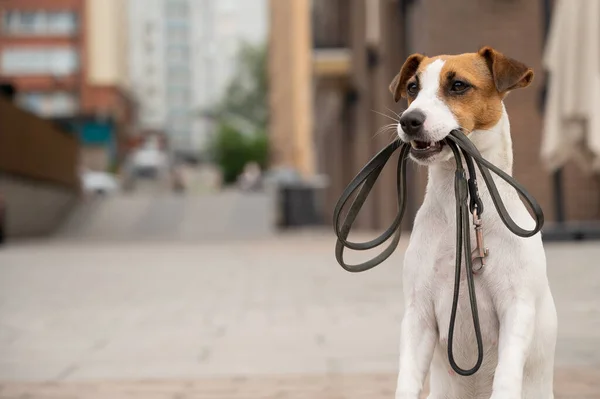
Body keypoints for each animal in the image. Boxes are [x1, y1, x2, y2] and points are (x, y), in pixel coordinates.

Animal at [390, 47, 556, 399]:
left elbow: (506, 375)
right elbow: (407, 377)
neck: (461, 217)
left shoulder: (517, 308)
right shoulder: (418, 315)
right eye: (412, 88)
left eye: (458, 86)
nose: (409, 120)